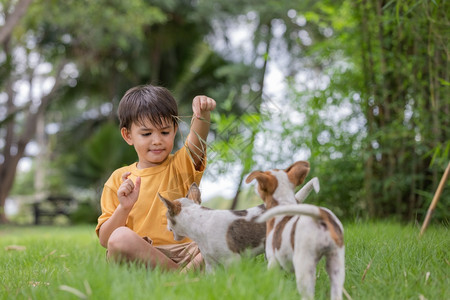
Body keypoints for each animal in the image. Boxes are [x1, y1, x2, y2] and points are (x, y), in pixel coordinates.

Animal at [158, 177, 320, 274]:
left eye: (166, 215)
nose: (166, 227)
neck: (200, 223)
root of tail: (294, 202)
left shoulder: (233, 261)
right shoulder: (210, 264)